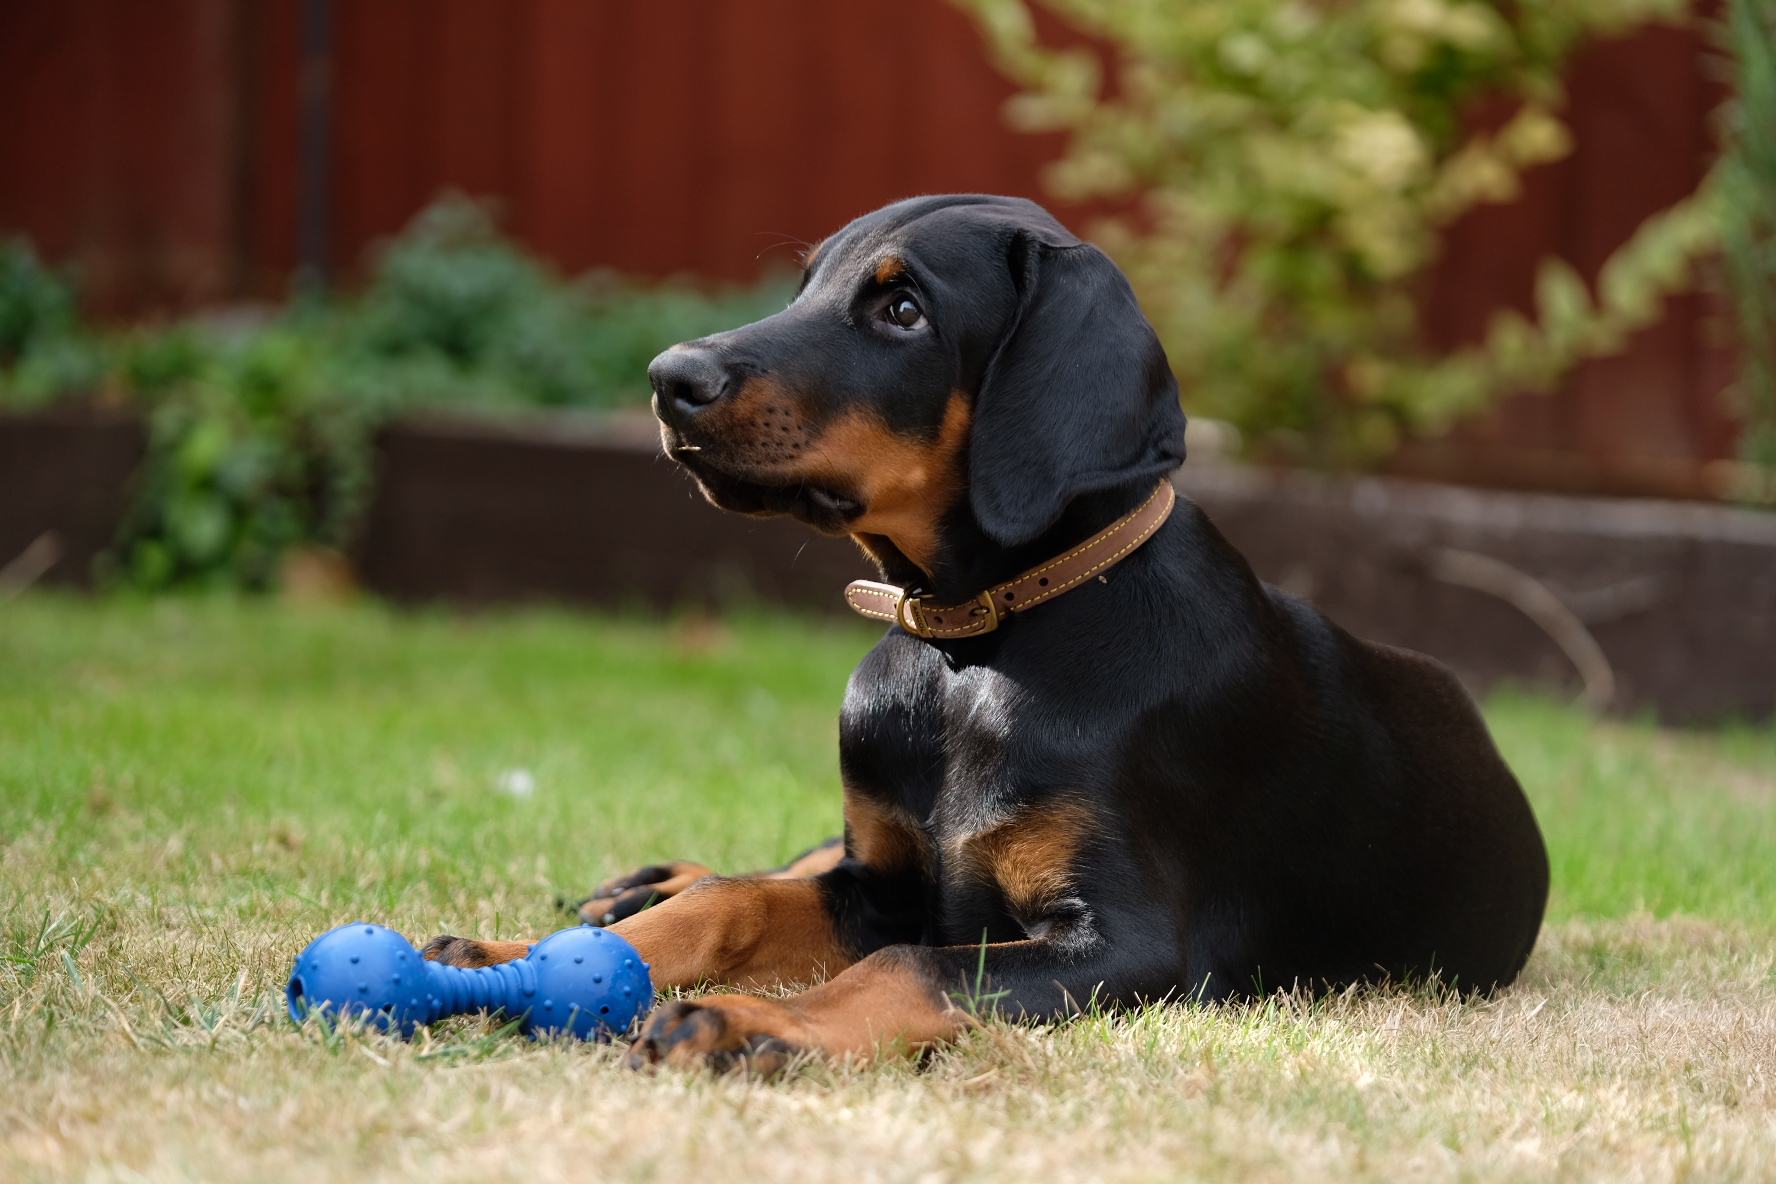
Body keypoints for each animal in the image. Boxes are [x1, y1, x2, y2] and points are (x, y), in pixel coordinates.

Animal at [422, 197, 1548, 1072]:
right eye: (805, 287)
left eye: (903, 308)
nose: (669, 378)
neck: (971, 650)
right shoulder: (880, 880)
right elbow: (736, 902)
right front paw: (514, 957)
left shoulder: (1129, 946)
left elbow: (908, 964)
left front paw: (745, 1023)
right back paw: (638, 887)